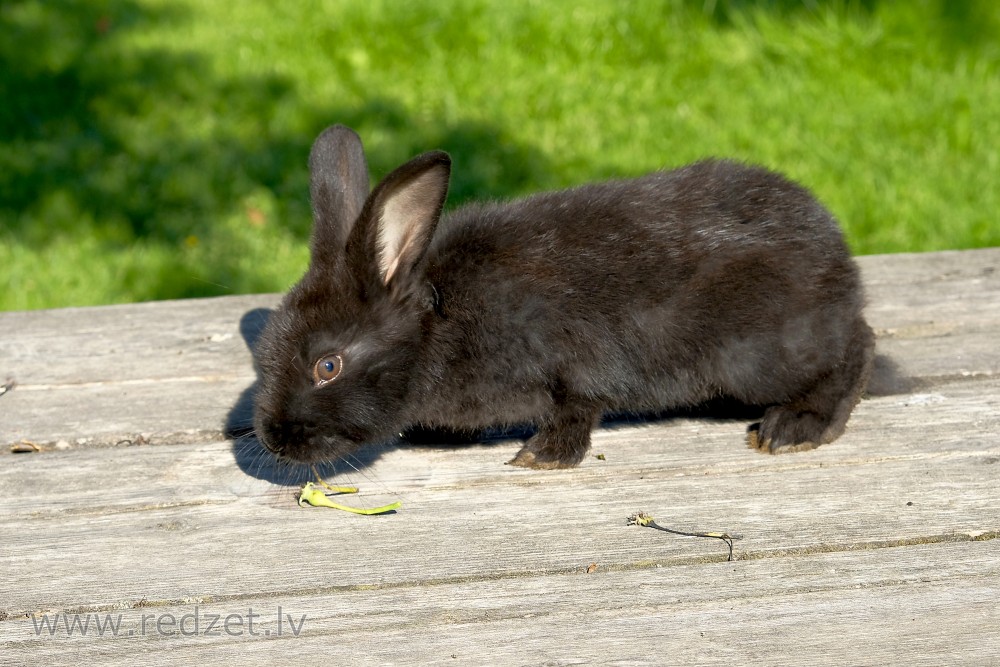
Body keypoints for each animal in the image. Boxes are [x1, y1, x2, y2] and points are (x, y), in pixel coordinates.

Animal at [252, 125, 876, 470]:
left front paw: (543, 456)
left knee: (856, 351)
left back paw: (794, 429)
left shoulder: (574, 359)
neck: (439, 319)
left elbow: (579, 404)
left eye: (327, 366)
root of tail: (838, 259)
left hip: (757, 356)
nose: (274, 440)